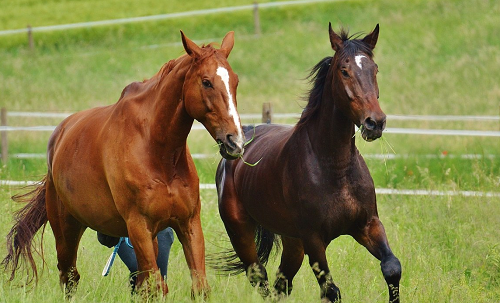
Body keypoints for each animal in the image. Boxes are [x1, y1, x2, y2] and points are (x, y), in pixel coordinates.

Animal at [1, 31, 244, 300]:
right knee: (69, 277)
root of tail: (58, 137)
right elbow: (154, 287)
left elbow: (198, 287)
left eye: (235, 82)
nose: (235, 141)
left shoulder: (188, 224)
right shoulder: (138, 227)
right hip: (67, 231)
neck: (158, 152)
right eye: (206, 82)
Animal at [215, 24, 402, 303]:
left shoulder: (368, 225)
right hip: (242, 234)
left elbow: (392, 268)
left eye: (374, 69)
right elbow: (331, 290)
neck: (335, 168)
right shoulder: (314, 239)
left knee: (281, 284)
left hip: (293, 242)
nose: (374, 123)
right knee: (261, 280)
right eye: (344, 71)